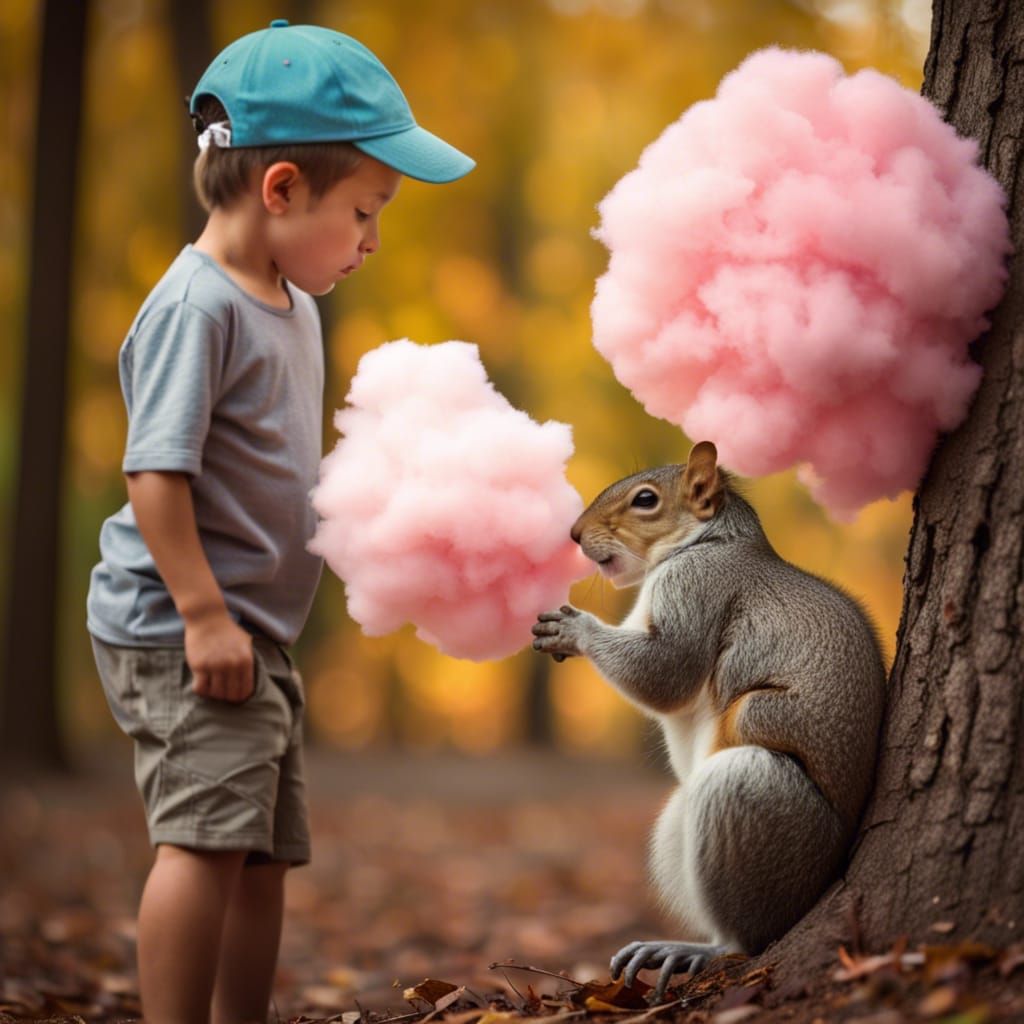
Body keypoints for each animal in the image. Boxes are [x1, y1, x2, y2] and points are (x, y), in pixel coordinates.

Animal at [532, 441, 887, 999]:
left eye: (646, 500)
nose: (573, 534)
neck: (707, 541)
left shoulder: (696, 588)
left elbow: (665, 672)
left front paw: (574, 630)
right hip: (681, 821)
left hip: (747, 795)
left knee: (749, 937)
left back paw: (696, 950)